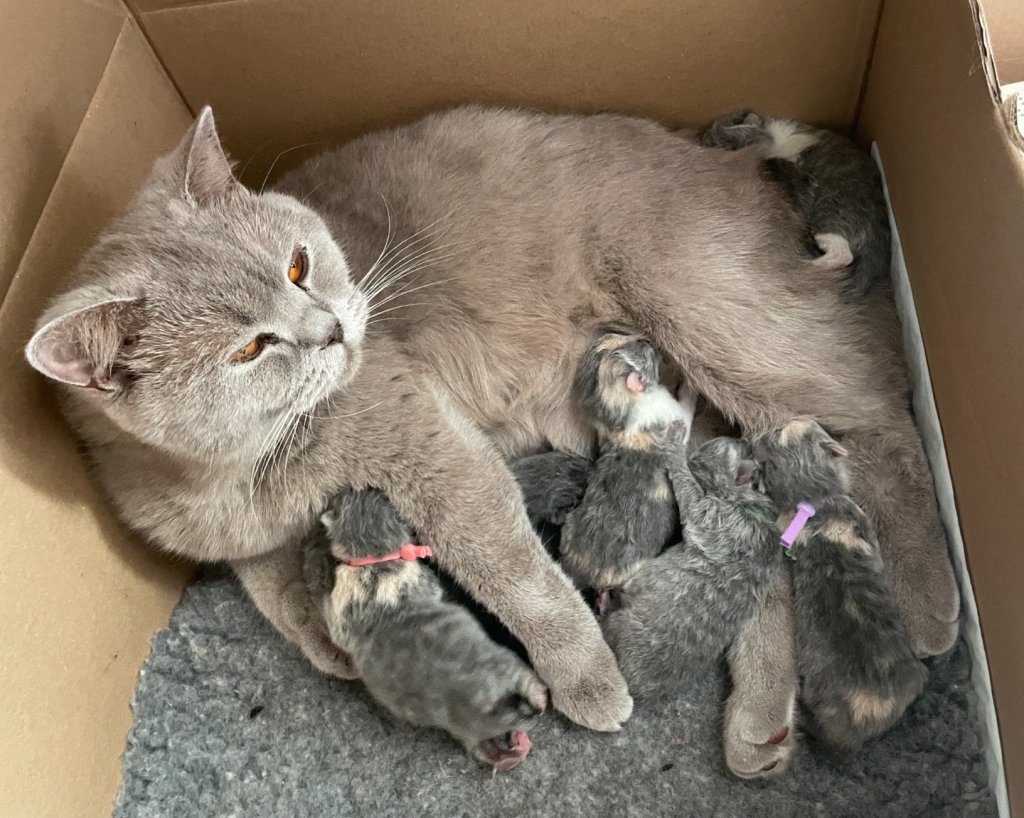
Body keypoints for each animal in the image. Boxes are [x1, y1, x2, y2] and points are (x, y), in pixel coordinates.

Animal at [558, 333, 690, 597]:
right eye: (639, 345)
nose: (648, 340)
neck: (614, 418)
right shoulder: (672, 412)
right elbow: (687, 409)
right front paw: (692, 388)